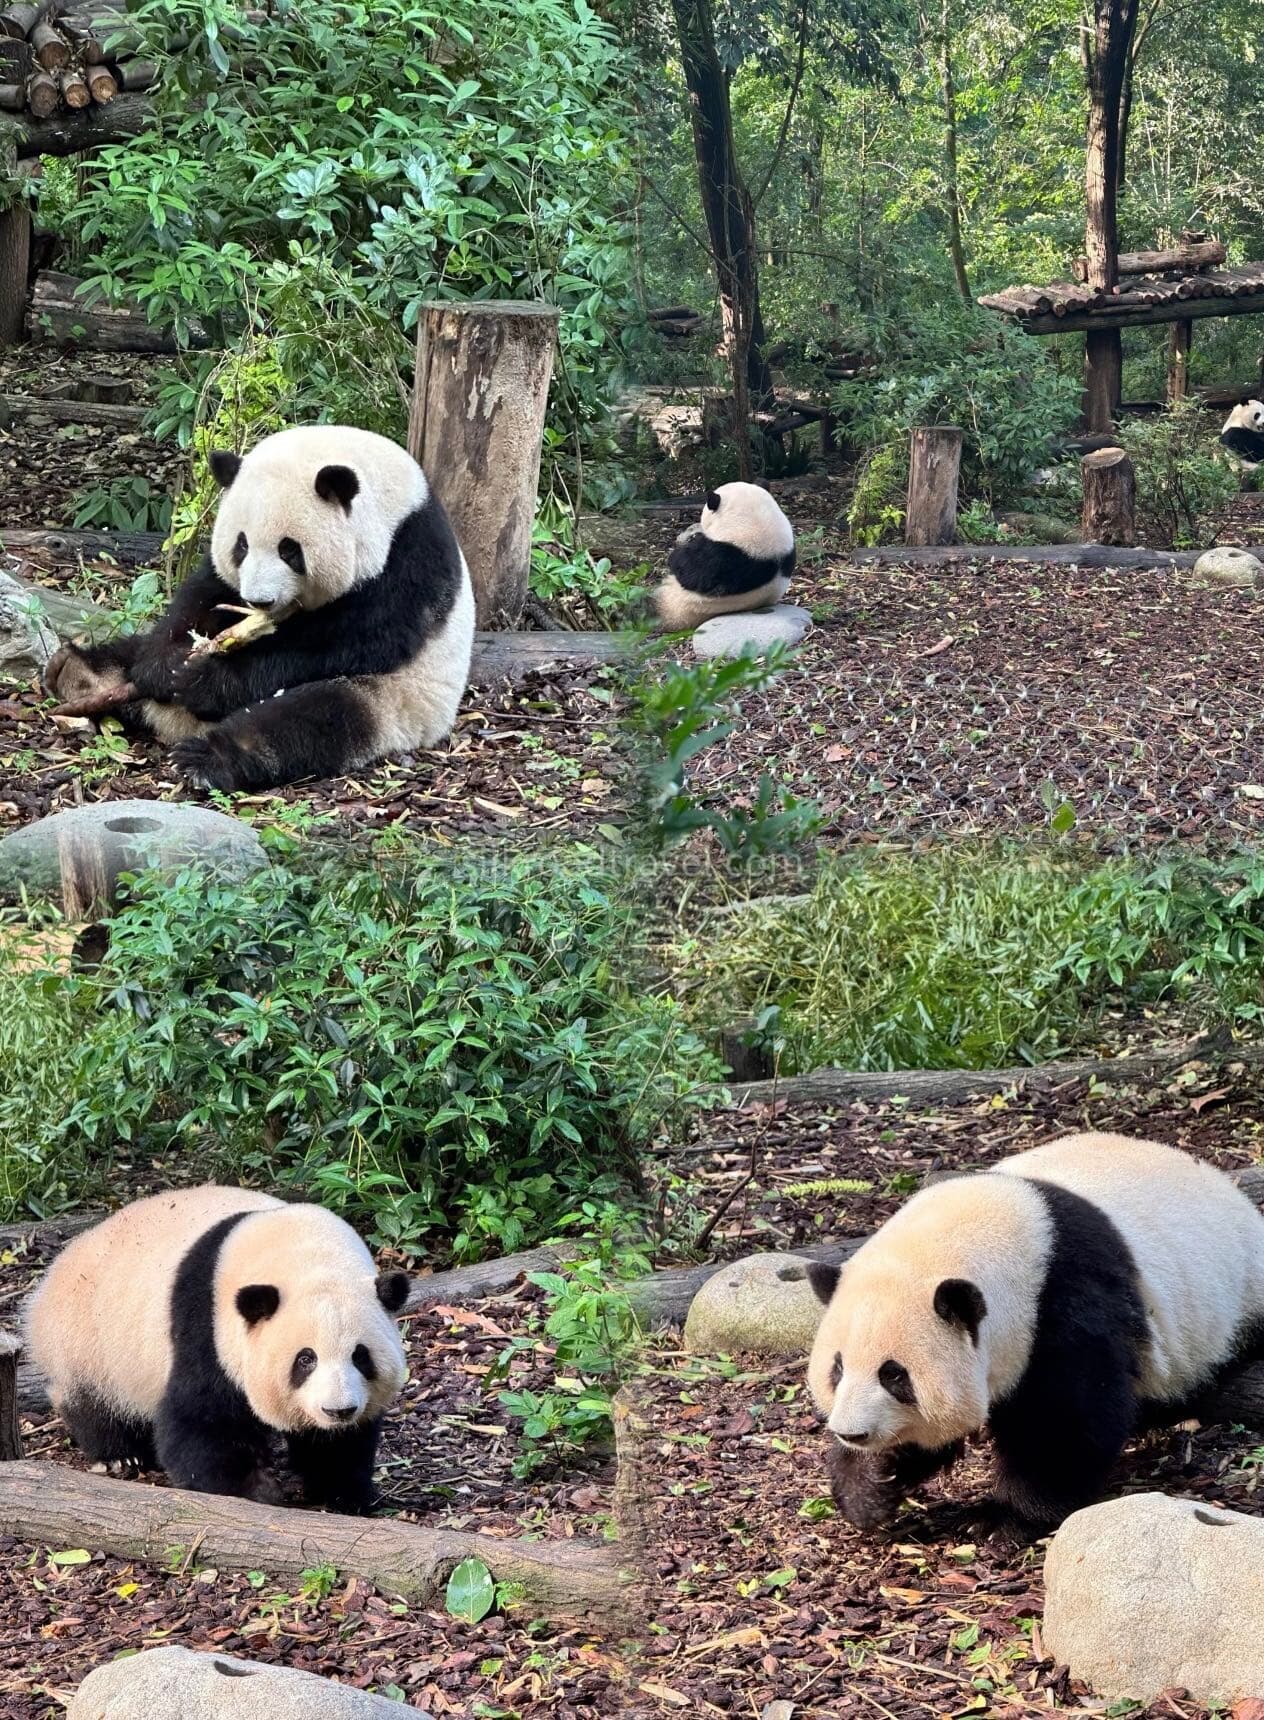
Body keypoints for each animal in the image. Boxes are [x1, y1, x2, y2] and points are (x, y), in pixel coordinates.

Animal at [24, 1186, 411, 1510]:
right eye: (305, 1359)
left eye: (360, 1356)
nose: (338, 1410)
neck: (304, 1254)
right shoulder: (206, 1325)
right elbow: (202, 1419)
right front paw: (254, 1490)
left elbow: (342, 1444)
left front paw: (343, 1491)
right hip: (89, 1337)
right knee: (91, 1399)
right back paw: (120, 1455)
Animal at [42, 425, 476, 793]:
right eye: (242, 545)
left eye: (290, 550)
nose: (258, 601)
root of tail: (172, 724)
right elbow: (203, 595)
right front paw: (167, 668)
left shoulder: (409, 561)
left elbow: (351, 640)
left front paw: (206, 681)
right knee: (128, 654)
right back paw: (78, 672)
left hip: (395, 699)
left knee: (310, 721)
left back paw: (206, 759)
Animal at [806, 1133, 1264, 1534]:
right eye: (837, 1369)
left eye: (894, 1375)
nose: (852, 1432)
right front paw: (870, 1485)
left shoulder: (1063, 1302)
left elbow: (1066, 1417)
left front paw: (1002, 1518)